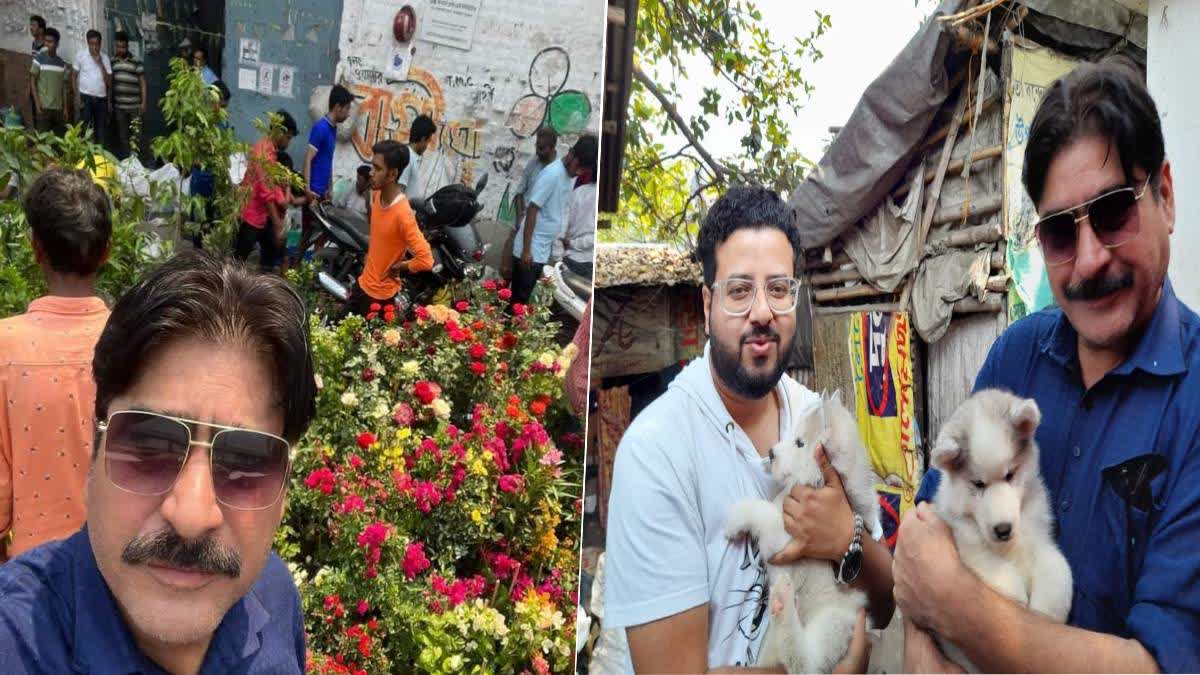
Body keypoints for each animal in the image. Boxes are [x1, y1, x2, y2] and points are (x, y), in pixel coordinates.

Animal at [720, 391, 883, 667]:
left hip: (832, 622)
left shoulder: (781, 540)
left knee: (805, 662)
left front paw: (734, 519)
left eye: (799, 443)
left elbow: (762, 511)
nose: (770, 452)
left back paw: (783, 602)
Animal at [931, 386, 1075, 667]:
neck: (1010, 547)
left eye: (1010, 475)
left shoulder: (1040, 539)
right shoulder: (968, 545)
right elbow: (1000, 574)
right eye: (978, 484)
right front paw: (1018, 598)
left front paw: (1046, 613)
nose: (1003, 529)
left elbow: (1058, 568)